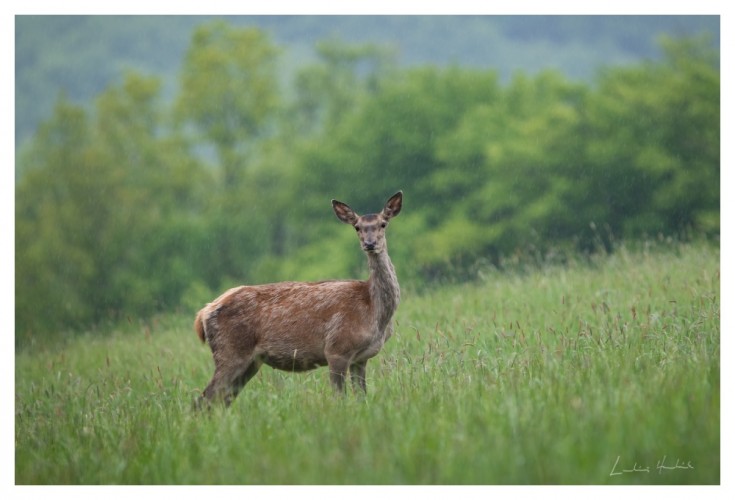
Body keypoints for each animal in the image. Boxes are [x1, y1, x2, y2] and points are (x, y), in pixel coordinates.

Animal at [194, 191, 402, 406]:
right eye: (357, 227)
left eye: (383, 224)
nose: (369, 244)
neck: (373, 311)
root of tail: (203, 313)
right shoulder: (337, 349)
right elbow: (339, 397)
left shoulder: (360, 359)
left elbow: (362, 398)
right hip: (230, 352)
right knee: (202, 401)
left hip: (250, 362)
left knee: (218, 401)